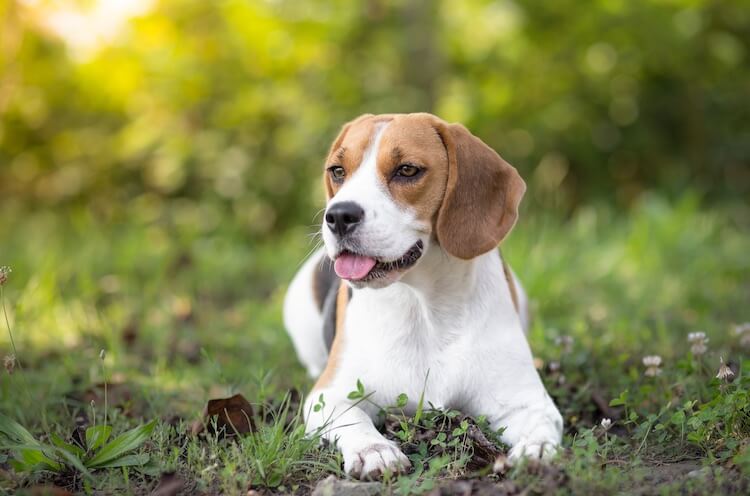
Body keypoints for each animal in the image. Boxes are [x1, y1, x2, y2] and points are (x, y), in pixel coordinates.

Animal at [284, 113, 564, 480]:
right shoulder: (328, 396)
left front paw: (536, 450)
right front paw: (375, 450)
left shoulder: (528, 401)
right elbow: (352, 419)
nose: (339, 215)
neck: (425, 308)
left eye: (407, 170)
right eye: (338, 171)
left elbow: (541, 425)